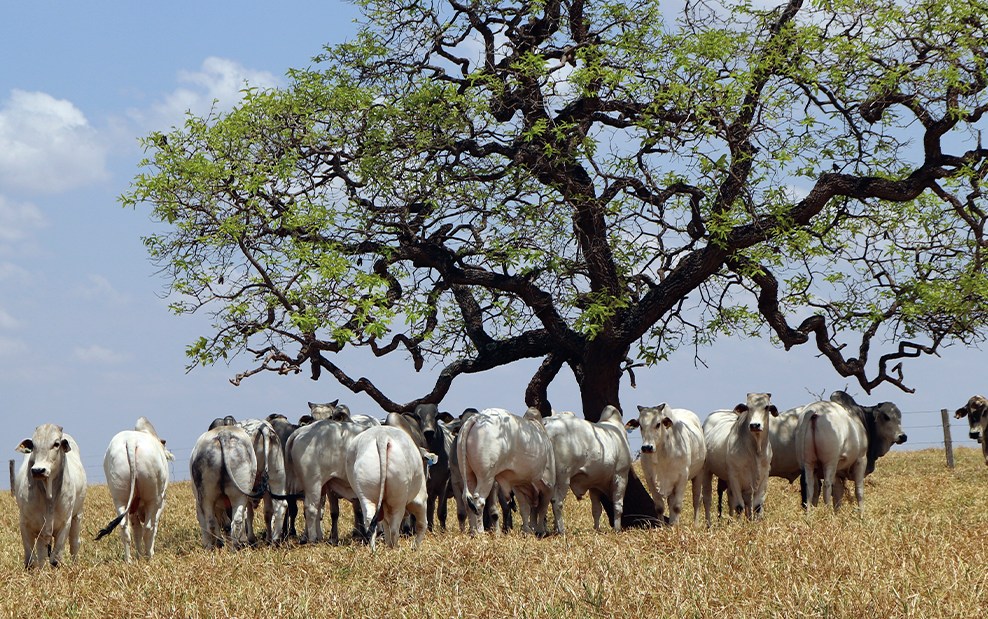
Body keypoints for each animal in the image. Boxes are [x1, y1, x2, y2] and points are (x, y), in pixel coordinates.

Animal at [14, 424, 87, 568]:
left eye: (56, 444)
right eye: (33, 445)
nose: (38, 470)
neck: (49, 496)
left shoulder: (65, 523)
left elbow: (56, 558)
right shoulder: (25, 523)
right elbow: (31, 559)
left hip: (78, 515)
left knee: (75, 543)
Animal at [96, 416, 174, 560]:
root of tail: (131, 441)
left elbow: (136, 530)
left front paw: (139, 555)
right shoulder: (161, 502)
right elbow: (153, 527)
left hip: (120, 498)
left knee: (125, 528)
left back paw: (129, 560)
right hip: (152, 499)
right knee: (148, 528)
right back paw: (149, 556)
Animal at [458, 406, 556, 536]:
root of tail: (477, 417)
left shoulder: (518, 484)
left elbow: (525, 509)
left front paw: (527, 530)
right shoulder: (548, 484)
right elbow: (542, 509)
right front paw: (540, 531)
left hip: (469, 475)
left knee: (467, 501)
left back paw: (473, 532)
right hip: (486, 477)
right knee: (479, 501)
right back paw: (481, 532)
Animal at [704, 392, 780, 524]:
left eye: (766, 407)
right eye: (748, 407)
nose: (755, 425)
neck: (756, 450)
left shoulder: (763, 477)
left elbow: (756, 506)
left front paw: (753, 523)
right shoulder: (734, 476)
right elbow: (739, 506)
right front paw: (739, 524)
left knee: (731, 499)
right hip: (706, 472)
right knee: (708, 499)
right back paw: (710, 524)